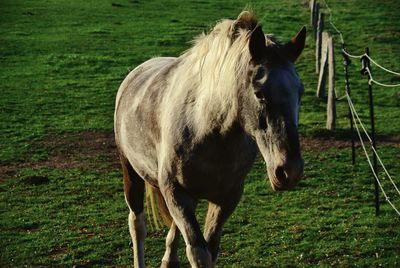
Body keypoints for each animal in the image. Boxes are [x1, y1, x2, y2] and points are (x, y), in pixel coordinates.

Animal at [115, 9, 306, 266]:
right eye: (259, 93)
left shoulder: (226, 197)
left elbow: (209, 247)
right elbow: (199, 252)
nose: (290, 171)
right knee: (137, 225)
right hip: (131, 172)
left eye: (300, 92)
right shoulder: (176, 192)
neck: (207, 130)